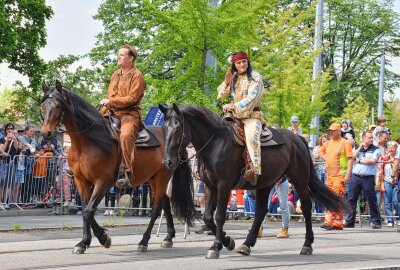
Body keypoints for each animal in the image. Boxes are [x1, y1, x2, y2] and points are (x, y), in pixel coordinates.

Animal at [40, 81, 197, 254]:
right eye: (43, 106)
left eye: (58, 106)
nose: (46, 133)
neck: (87, 143)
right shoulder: (81, 181)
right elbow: (85, 210)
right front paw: (83, 242)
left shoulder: (103, 182)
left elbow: (88, 211)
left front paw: (103, 238)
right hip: (152, 178)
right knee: (165, 202)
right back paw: (168, 237)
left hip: (163, 176)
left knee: (156, 208)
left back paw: (144, 241)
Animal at [159, 104, 344, 258]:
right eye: (164, 129)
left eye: (177, 129)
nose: (168, 161)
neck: (215, 144)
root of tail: (298, 140)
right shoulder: (210, 187)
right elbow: (207, 217)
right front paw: (227, 241)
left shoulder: (224, 185)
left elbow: (219, 215)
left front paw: (216, 246)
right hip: (266, 183)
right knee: (261, 211)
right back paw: (246, 244)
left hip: (299, 180)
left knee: (306, 208)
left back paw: (307, 245)